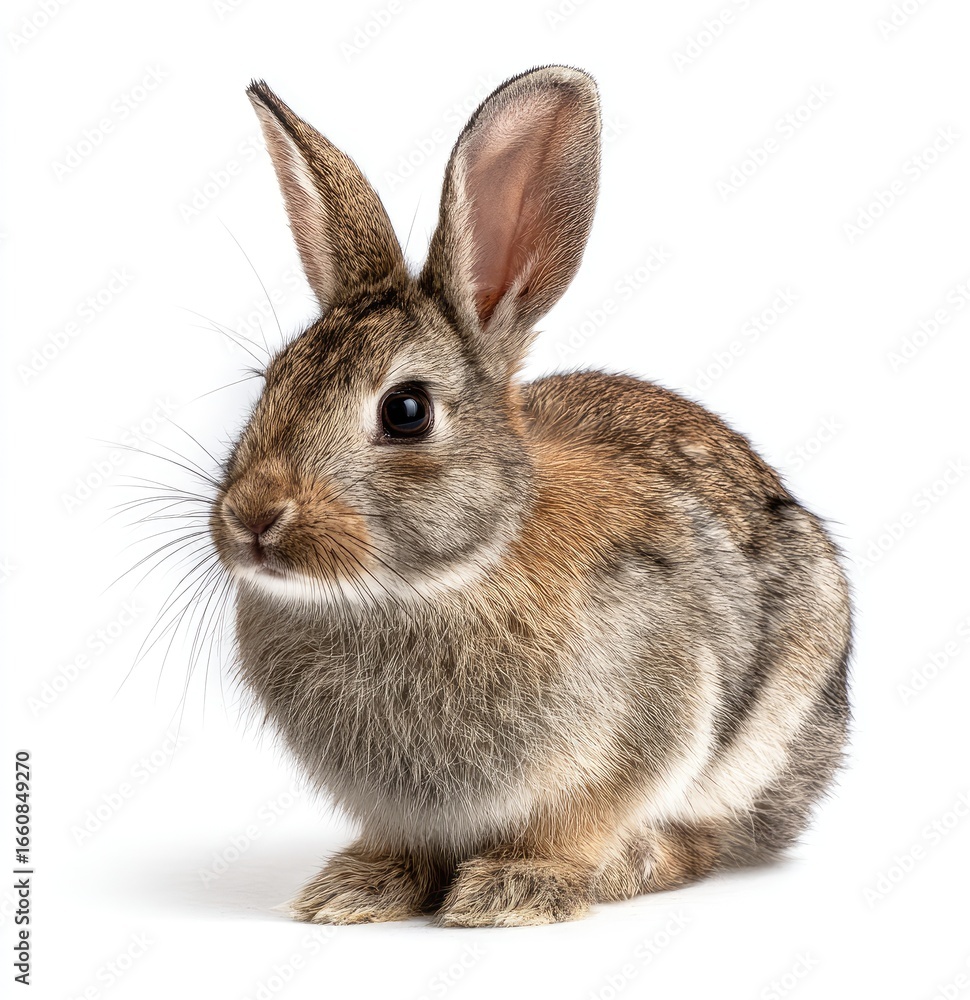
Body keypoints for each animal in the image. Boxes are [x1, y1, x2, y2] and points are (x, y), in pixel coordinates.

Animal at [208, 66, 851, 927]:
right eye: (271, 381)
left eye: (405, 411)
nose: (252, 518)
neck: (433, 581)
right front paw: (356, 890)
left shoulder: (639, 733)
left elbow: (576, 824)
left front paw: (513, 889)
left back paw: (632, 864)